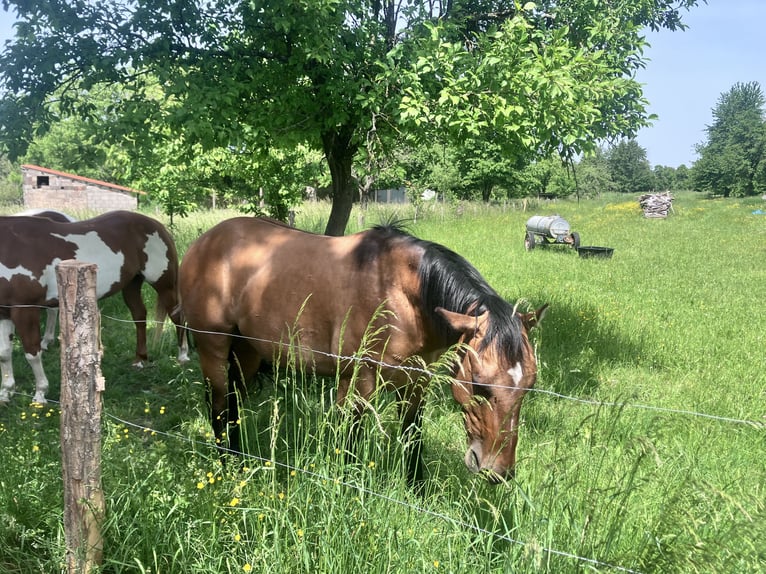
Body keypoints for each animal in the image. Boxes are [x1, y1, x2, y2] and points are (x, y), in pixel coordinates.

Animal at [0, 210, 189, 405]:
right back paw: (140, 359)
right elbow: (4, 353)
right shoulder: (4, 312)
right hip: (132, 283)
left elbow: (32, 353)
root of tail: (157, 226)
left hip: (164, 284)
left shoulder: (25, 309)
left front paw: (40, 394)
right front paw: (6, 392)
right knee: (139, 315)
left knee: (177, 317)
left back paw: (183, 356)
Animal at [179, 217, 546, 486]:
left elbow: (412, 437)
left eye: (528, 388)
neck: (399, 291)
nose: (498, 472)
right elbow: (350, 440)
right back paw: (227, 467)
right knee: (219, 409)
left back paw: (242, 462)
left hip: (248, 352)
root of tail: (203, 242)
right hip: (213, 348)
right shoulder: (356, 383)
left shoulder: (416, 383)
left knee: (233, 407)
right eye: (480, 386)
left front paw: (416, 490)